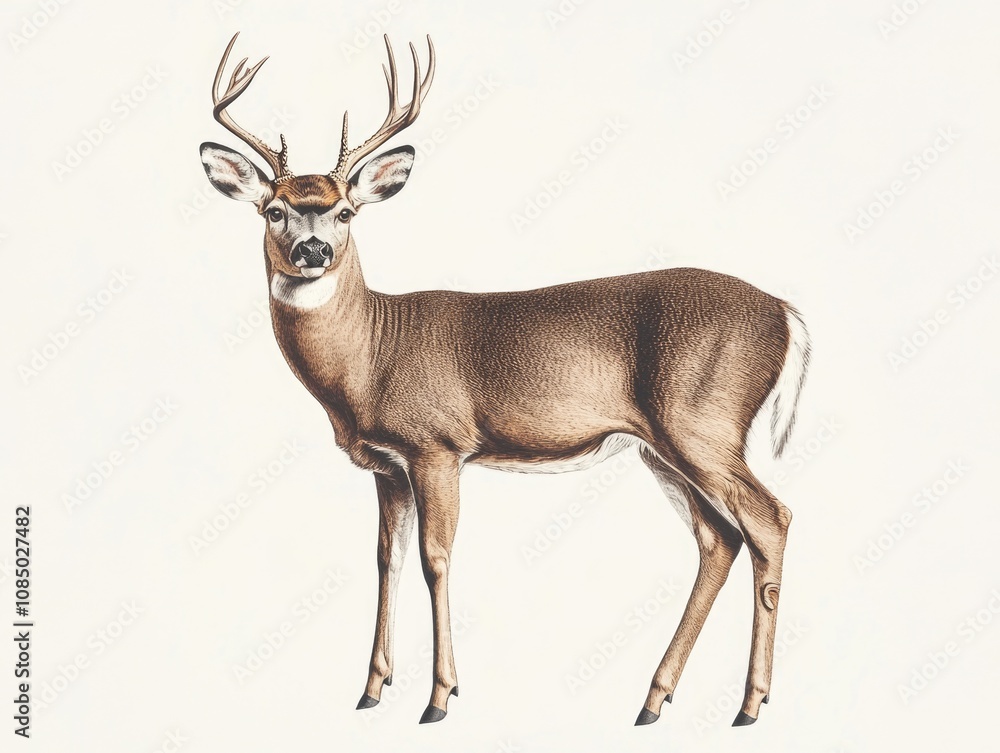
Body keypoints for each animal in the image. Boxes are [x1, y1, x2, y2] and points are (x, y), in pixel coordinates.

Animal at [199, 32, 810, 727]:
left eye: (347, 212)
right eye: (274, 210)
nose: (313, 251)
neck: (373, 354)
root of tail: (785, 314)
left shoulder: (438, 446)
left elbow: (435, 559)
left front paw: (439, 697)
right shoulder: (387, 465)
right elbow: (385, 560)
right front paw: (371, 689)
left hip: (704, 423)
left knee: (770, 518)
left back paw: (750, 704)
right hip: (663, 447)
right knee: (719, 539)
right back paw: (655, 700)